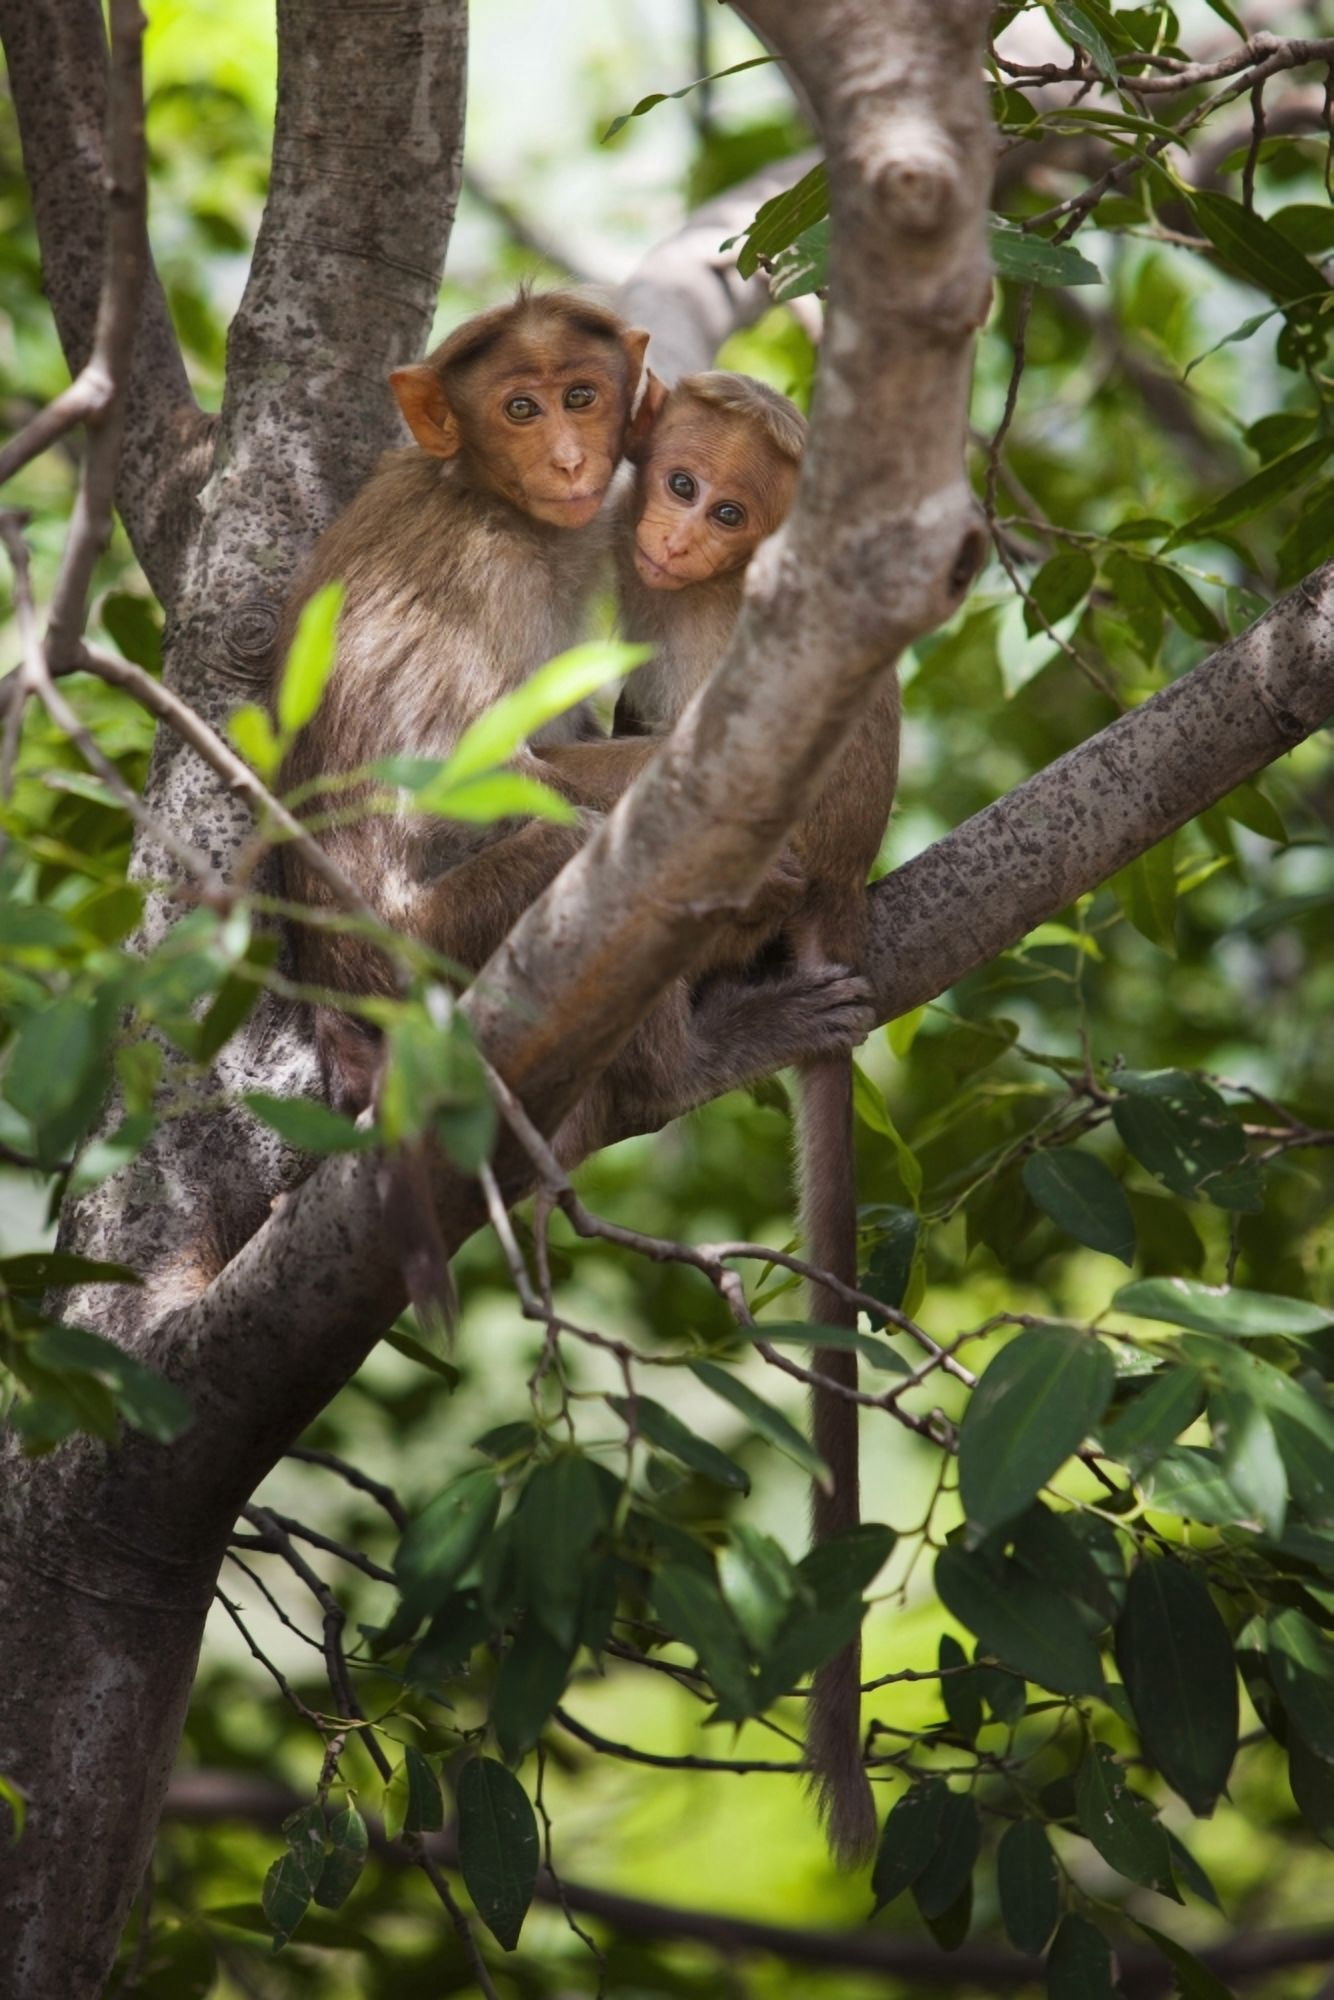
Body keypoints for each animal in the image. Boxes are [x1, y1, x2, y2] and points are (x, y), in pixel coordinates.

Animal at [275, 295, 872, 1159]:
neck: (480, 493)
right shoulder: (490, 571)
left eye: (580, 397)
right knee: (569, 860)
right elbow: (456, 775)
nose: (566, 461)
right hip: (419, 964)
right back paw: (683, 1066)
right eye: (520, 408)